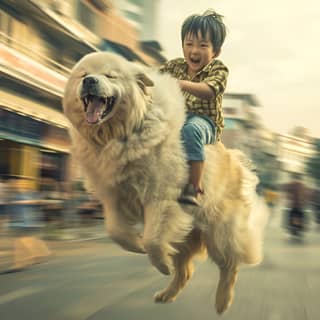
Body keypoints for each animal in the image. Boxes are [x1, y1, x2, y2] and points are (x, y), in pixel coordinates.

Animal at [63, 51, 268, 314]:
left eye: (110, 75)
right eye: (84, 75)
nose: (90, 81)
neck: (121, 133)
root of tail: (238, 162)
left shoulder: (160, 197)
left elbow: (152, 239)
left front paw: (158, 262)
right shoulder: (114, 196)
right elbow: (116, 231)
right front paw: (137, 246)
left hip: (218, 232)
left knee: (229, 265)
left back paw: (222, 302)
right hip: (187, 235)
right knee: (186, 271)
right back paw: (167, 294)